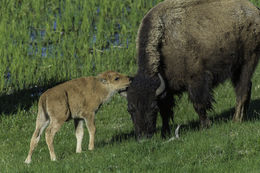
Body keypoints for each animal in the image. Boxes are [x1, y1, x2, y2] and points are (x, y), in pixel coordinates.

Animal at [126, 0, 260, 139]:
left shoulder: (196, 81)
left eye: (153, 107)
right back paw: (243, 116)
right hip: (236, 69)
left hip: (248, 61)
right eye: (130, 109)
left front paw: (204, 126)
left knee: (242, 90)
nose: (143, 137)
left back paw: (236, 120)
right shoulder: (167, 91)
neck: (163, 41)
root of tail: (255, 10)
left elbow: (199, 104)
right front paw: (164, 133)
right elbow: (166, 112)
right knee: (246, 87)